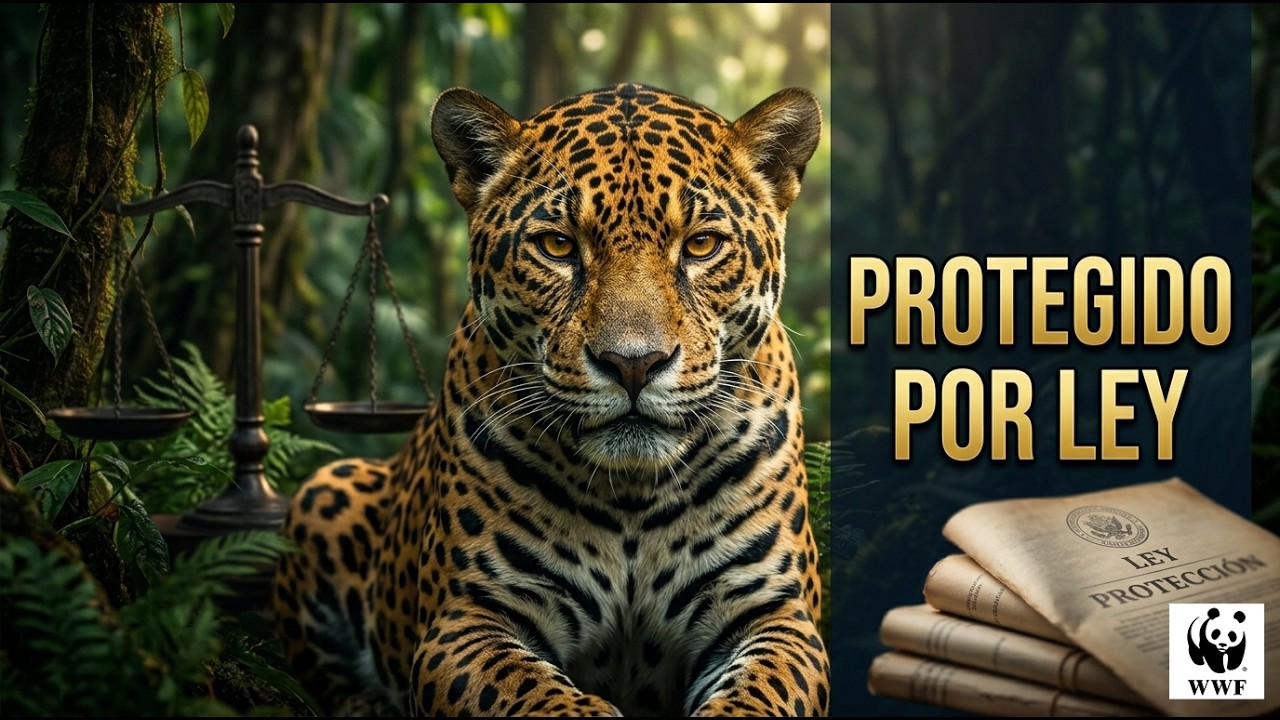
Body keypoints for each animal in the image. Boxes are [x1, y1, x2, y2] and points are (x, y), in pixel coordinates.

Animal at [273, 82, 828, 717]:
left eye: (702, 245)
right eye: (558, 245)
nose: (633, 363)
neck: (631, 497)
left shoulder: (775, 614)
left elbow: (757, 698)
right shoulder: (466, 618)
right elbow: (536, 696)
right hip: (324, 490)